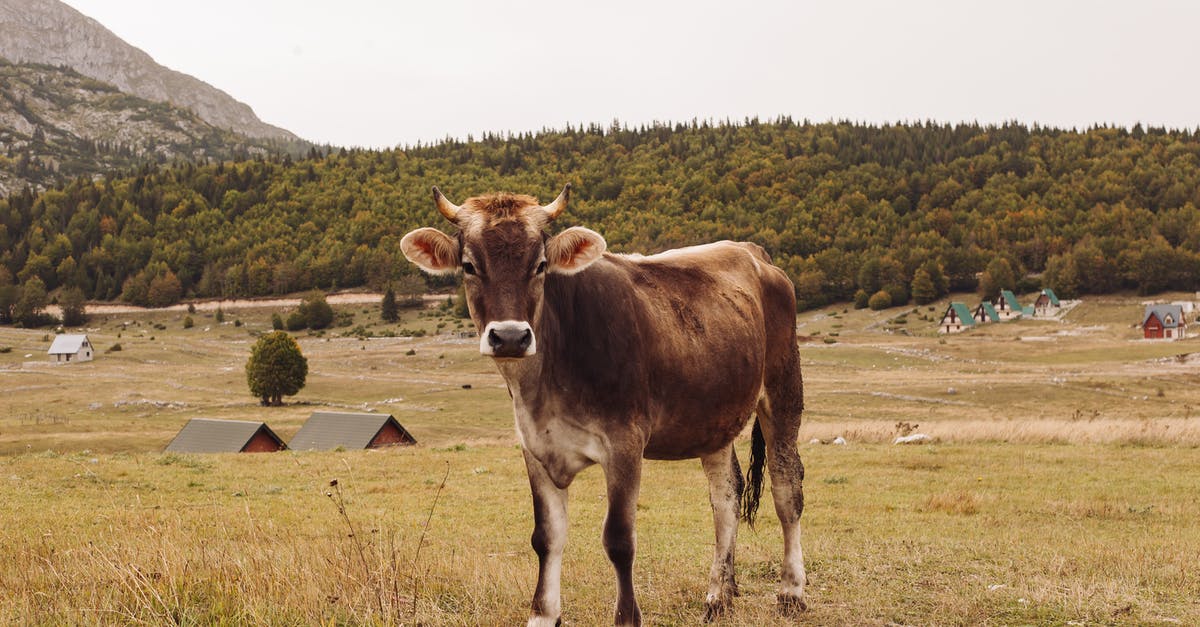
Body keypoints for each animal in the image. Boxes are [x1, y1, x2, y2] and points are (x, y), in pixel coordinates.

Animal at [400, 186, 806, 624]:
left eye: (540, 265)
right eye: (469, 266)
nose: (509, 337)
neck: (545, 387)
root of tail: (752, 252)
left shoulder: (624, 443)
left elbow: (619, 539)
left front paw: (627, 616)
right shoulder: (535, 447)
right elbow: (547, 537)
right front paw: (543, 614)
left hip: (783, 389)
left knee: (787, 488)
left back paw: (791, 591)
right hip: (714, 417)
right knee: (726, 497)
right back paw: (719, 596)